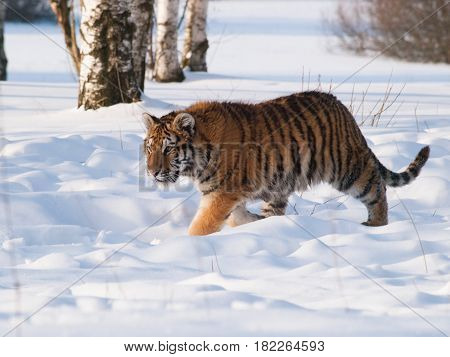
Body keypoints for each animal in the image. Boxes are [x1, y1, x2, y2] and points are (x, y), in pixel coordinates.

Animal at [142, 91, 430, 236]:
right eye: (150, 148)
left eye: (169, 148)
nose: (152, 172)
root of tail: (343, 109)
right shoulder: (226, 194)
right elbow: (237, 217)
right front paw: (252, 223)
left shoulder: (222, 193)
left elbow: (202, 225)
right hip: (278, 185)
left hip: (347, 169)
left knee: (377, 189)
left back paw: (376, 227)